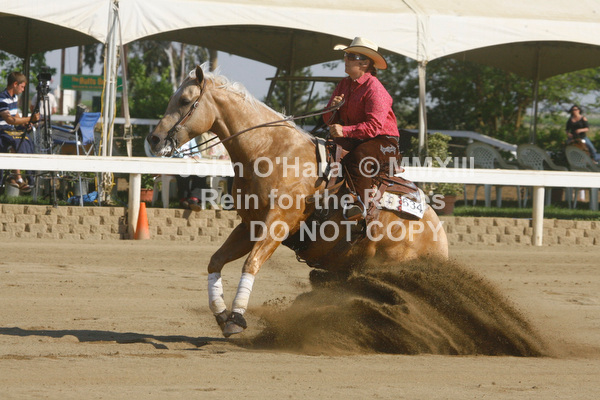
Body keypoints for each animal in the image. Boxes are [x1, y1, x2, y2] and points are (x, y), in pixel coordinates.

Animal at [147, 65, 449, 337]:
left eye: (185, 100)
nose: (154, 139)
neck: (271, 151)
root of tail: (440, 238)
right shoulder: (249, 226)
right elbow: (216, 261)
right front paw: (221, 313)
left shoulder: (278, 225)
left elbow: (251, 264)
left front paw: (236, 318)